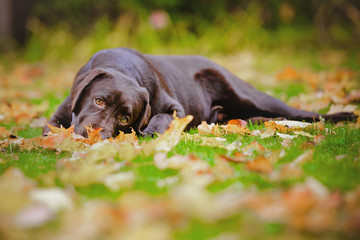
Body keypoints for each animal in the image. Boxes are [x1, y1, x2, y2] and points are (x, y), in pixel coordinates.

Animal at [43, 47, 358, 138]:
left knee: (299, 112)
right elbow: (49, 128)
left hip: (249, 96)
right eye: (98, 101)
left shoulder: (175, 108)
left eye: (124, 119)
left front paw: (150, 132)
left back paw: (344, 115)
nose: (95, 136)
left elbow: (160, 118)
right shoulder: (59, 114)